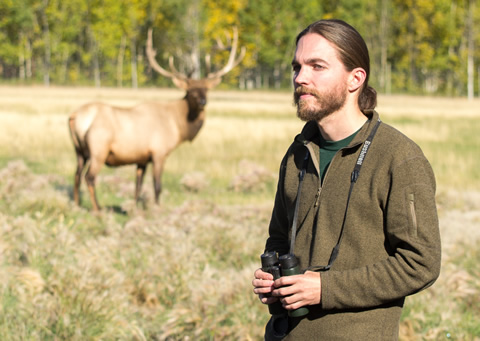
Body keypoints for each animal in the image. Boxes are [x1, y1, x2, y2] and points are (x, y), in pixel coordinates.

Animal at [67, 27, 246, 210]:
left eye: (206, 89)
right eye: (190, 91)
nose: (203, 102)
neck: (178, 126)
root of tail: (75, 116)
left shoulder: (142, 159)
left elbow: (138, 186)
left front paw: (135, 207)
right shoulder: (159, 152)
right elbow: (157, 186)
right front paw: (157, 208)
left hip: (79, 151)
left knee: (76, 175)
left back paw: (77, 204)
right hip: (99, 149)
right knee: (89, 177)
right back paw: (97, 209)